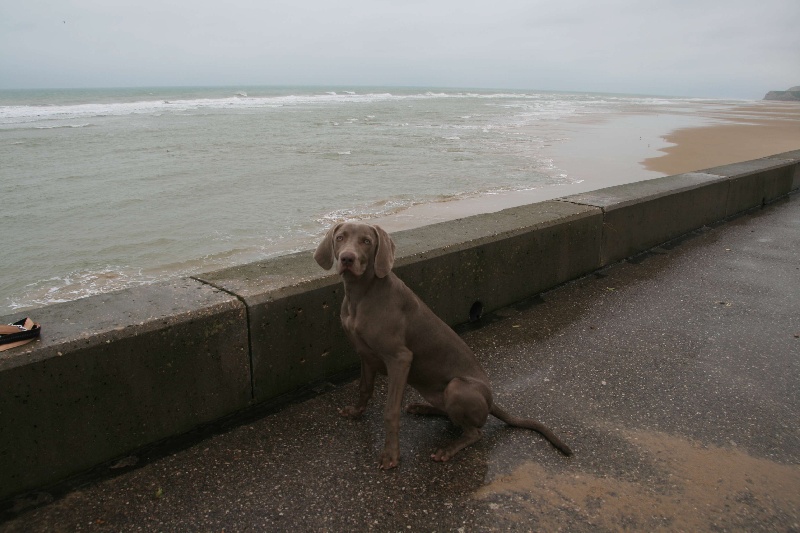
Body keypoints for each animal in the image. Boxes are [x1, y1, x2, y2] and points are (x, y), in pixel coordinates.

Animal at [316, 222, 572, 468]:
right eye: (340, 238)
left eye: (366, 241)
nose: (346, 258)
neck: (361, 295)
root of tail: (491, 402)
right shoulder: (365, 354)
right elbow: (364, 388)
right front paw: (355, 412)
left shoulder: (400, 358)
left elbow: (390, 410)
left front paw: (390, 455)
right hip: (432, 390)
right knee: (449, 415)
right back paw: (422, 408)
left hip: (457, 387)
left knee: (474, 432)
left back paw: (447, 449)